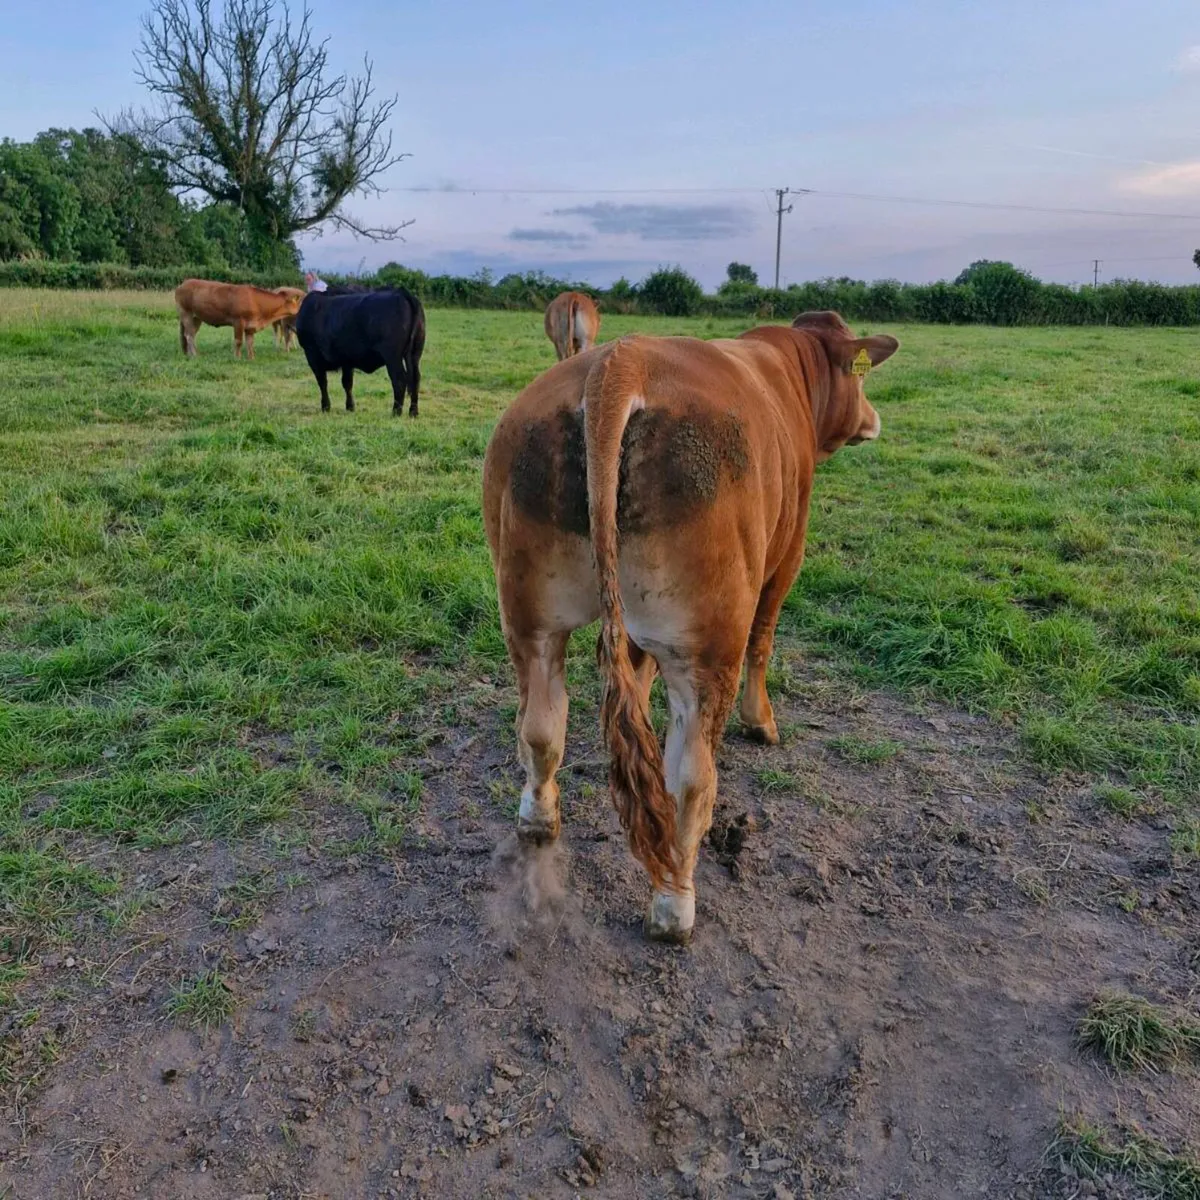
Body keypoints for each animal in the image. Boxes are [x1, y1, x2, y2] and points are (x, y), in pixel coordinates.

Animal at [174, 279, 303, 359]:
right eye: (299, 302)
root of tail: (183, 283)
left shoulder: (250, 326)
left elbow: (250, 342)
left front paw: (251, 358)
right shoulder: (238, 321)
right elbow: (238, 341)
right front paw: (237, 357)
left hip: (196, 318)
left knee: (190, 335)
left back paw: (190, 354)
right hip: (186, 313)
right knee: (189, 335)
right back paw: (195, 355)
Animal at [294, 286, 426, 416]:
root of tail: (401, 293)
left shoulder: (312, 354)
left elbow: (322, 382)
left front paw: (326, 407)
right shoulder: (346, 360)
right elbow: (347, 383)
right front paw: (350, 407)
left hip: (392, 356)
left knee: (399, 380)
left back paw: (396, 412)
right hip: (415, 354)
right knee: (415, 379)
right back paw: (413, 411)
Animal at [481, 311, 898, 943]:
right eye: (863, 376)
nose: (873, 419)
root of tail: (620, 363)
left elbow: (632, 667)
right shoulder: (788, 555)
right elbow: (764, 640)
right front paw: (763, 722)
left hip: (532, 616)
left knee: (541, 727)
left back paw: (539, 816)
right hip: (707, 645)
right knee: (691, 779)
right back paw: (675, 902)